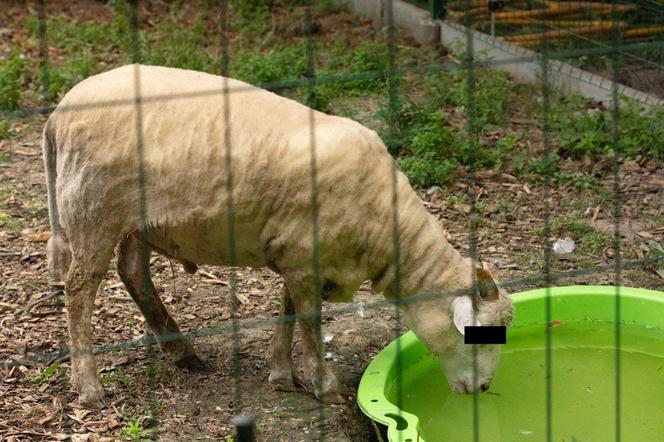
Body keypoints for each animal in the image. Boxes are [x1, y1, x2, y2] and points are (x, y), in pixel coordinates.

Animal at [44, 64, 516, 408]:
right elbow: (309, 322)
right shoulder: (305, 259)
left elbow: (288, 310)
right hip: (94, 213)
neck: (387, 227)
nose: (484, 389)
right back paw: (88, 387)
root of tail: (59, 111)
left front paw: (281, 374)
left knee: (133, 273)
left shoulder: (300, 254)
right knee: (80, 291)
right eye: (479, 332)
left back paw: (182, 351)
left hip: (134, 221)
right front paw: (324, 386)